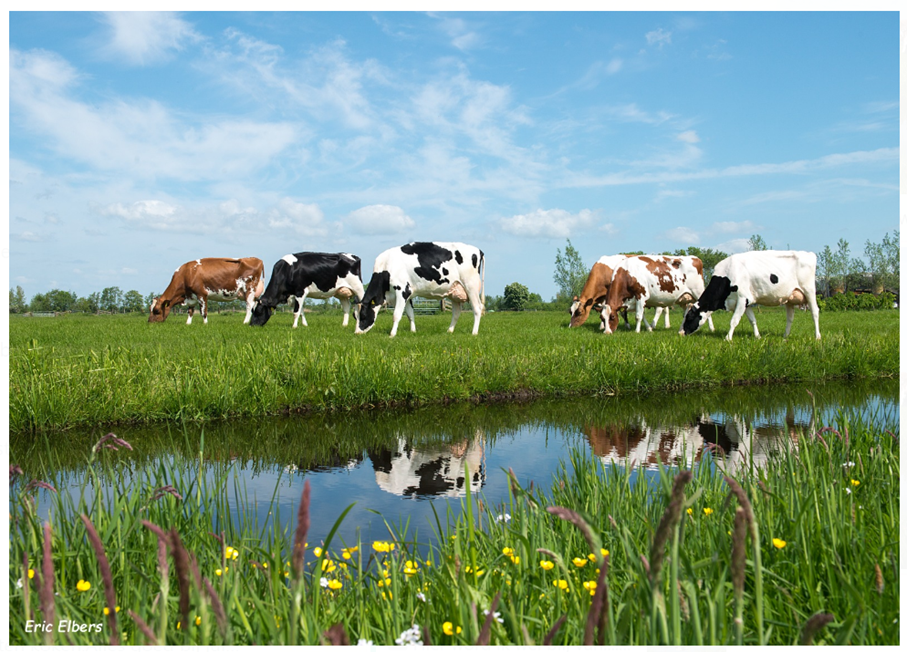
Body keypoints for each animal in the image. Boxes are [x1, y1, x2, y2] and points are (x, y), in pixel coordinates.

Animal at [680, 248, 824, 342]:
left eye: (689, 317)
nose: (680, 333)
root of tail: (809, 254)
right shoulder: (747, 302)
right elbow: (752, 320)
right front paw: (758, 336)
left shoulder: (742, 298)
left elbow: (734, 320)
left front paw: (728, 338)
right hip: (789, 298)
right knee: (790, 317)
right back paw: (785, 336)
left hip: (809, 291)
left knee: (815, 312)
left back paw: (817, 336)